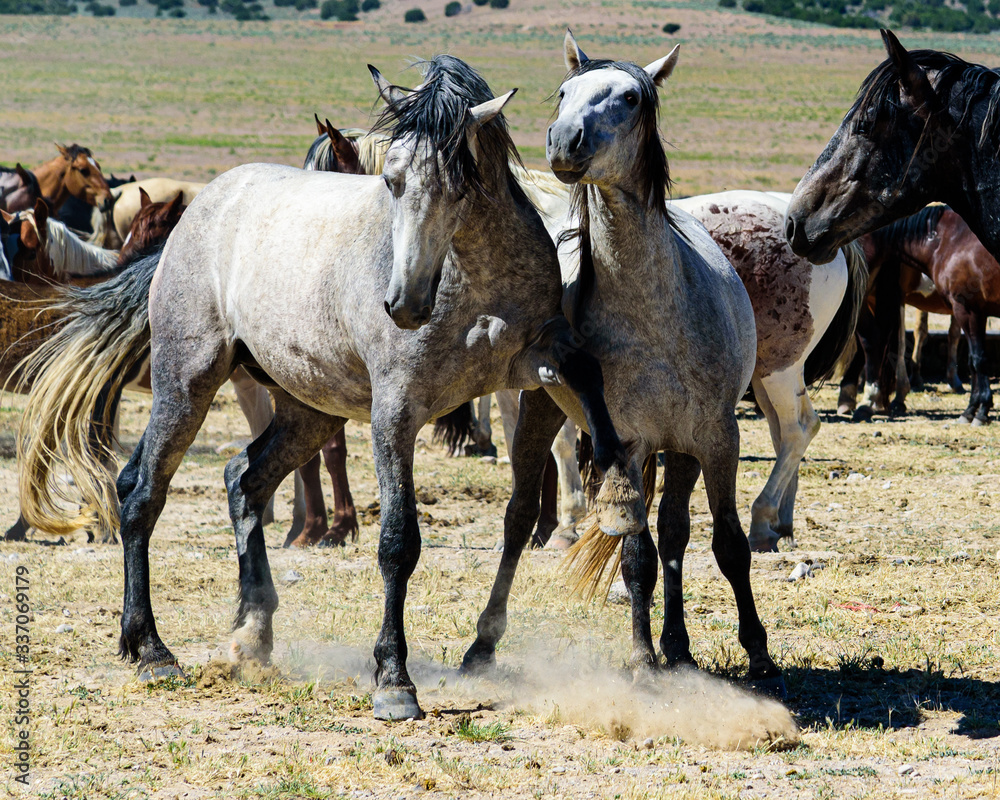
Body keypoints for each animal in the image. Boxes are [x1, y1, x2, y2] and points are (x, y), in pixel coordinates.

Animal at [16, 55, 642, 721]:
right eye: (392, 181)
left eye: (462, 185)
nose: (404, 303)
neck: (473, 280)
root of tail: (197, 212)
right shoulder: (396, 411)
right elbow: (398, 542)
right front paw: (393, 679)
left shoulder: (541, 358)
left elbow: (590, 382)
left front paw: (618, 495)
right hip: (188, 382)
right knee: (141, 492)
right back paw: (151, 649)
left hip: (308, 410)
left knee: (243, 478)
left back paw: (251, 636)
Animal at [460, 34, 783, 697]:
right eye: (564, 91)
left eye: (631, 97)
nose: (564, 140)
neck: (655, 310)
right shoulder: (628, 444)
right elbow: (637, 559)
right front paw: (640, 659)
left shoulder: (718, 436)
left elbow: (728, 543)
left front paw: (758, 654)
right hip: (541, 413)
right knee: (519, 518)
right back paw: (484, 644)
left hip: (681, 448)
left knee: (676, 531)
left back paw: (679, 647)